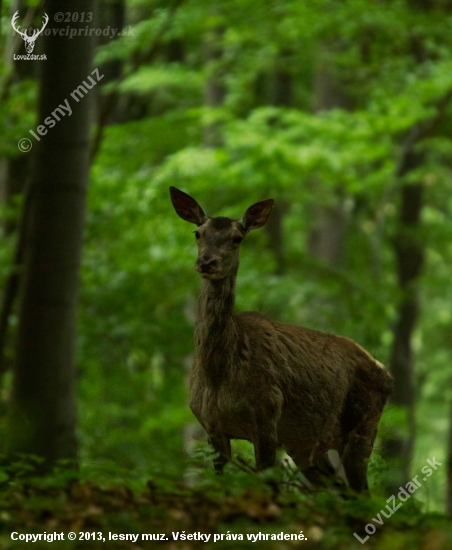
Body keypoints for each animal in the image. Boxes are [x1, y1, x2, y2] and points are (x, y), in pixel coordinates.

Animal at [170, 188, 392, 494]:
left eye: (237, 238)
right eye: (198, 233)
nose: (207, 262)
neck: (219, 374)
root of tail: (388, 376)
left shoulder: (267, 416)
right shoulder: (211, 427)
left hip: (363, 427)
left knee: (362, 494)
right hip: (306, 445)